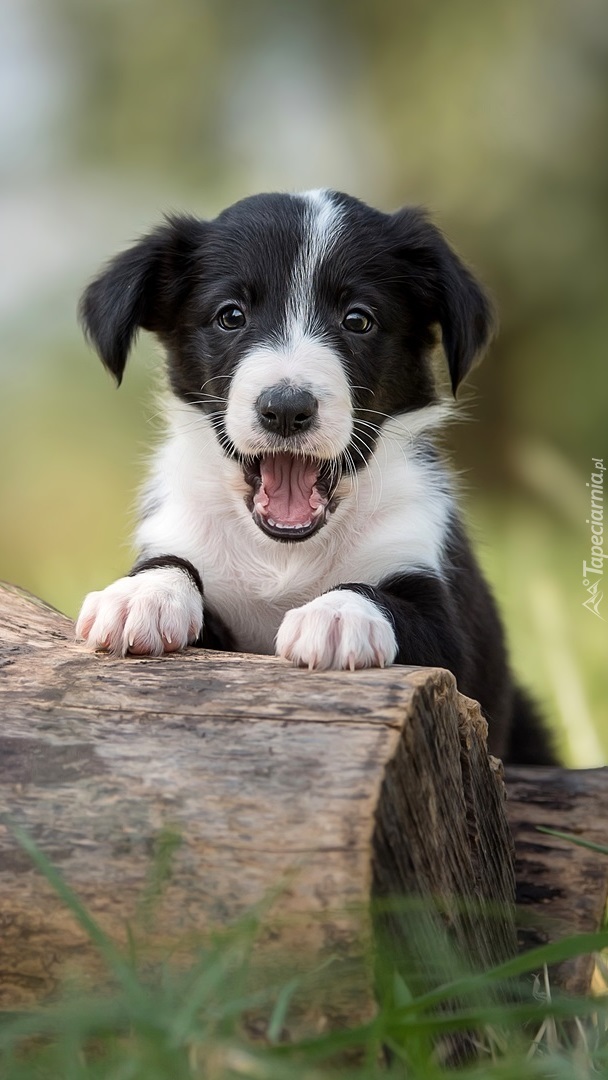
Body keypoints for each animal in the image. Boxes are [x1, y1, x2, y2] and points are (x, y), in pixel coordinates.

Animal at [75, 190, 552, 764]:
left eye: (358, 320)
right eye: (230, 316)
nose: (285, 409)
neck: (284, 555)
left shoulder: (452, 638)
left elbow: (387, 599)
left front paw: (337, 614)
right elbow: (173, 563)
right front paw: (142, 595)